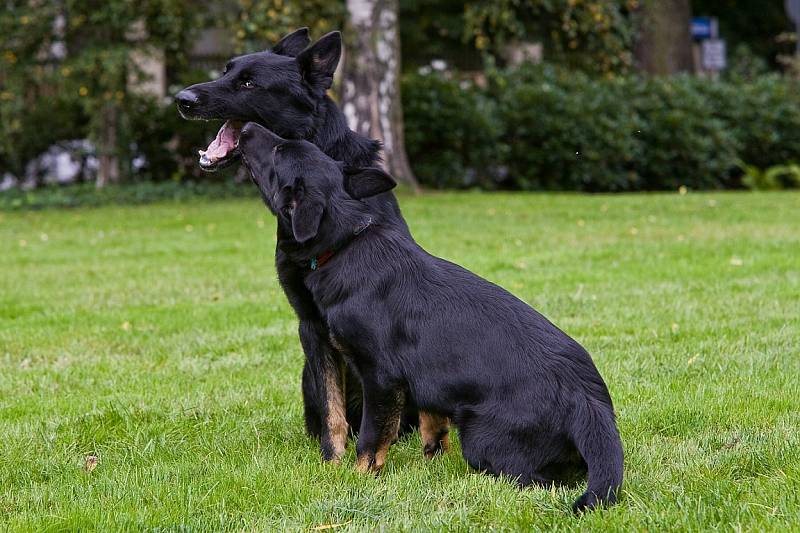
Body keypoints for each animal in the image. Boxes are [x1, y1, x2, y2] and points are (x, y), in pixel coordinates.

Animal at [174, 30, 446, 462]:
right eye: (226, 70)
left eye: (249, 84)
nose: (182, 99)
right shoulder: (310, 326)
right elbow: (332, 406)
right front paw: (332, 459)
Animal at [238, 121, 624, 512]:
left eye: (279, 151)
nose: (246, 127)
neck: (346, 243)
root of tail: (590, 404)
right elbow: (430, 427)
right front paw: (428, 465)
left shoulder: (380, 377)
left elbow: (371, 438)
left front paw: (359, 480)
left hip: (481, 437)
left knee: (537, 481)